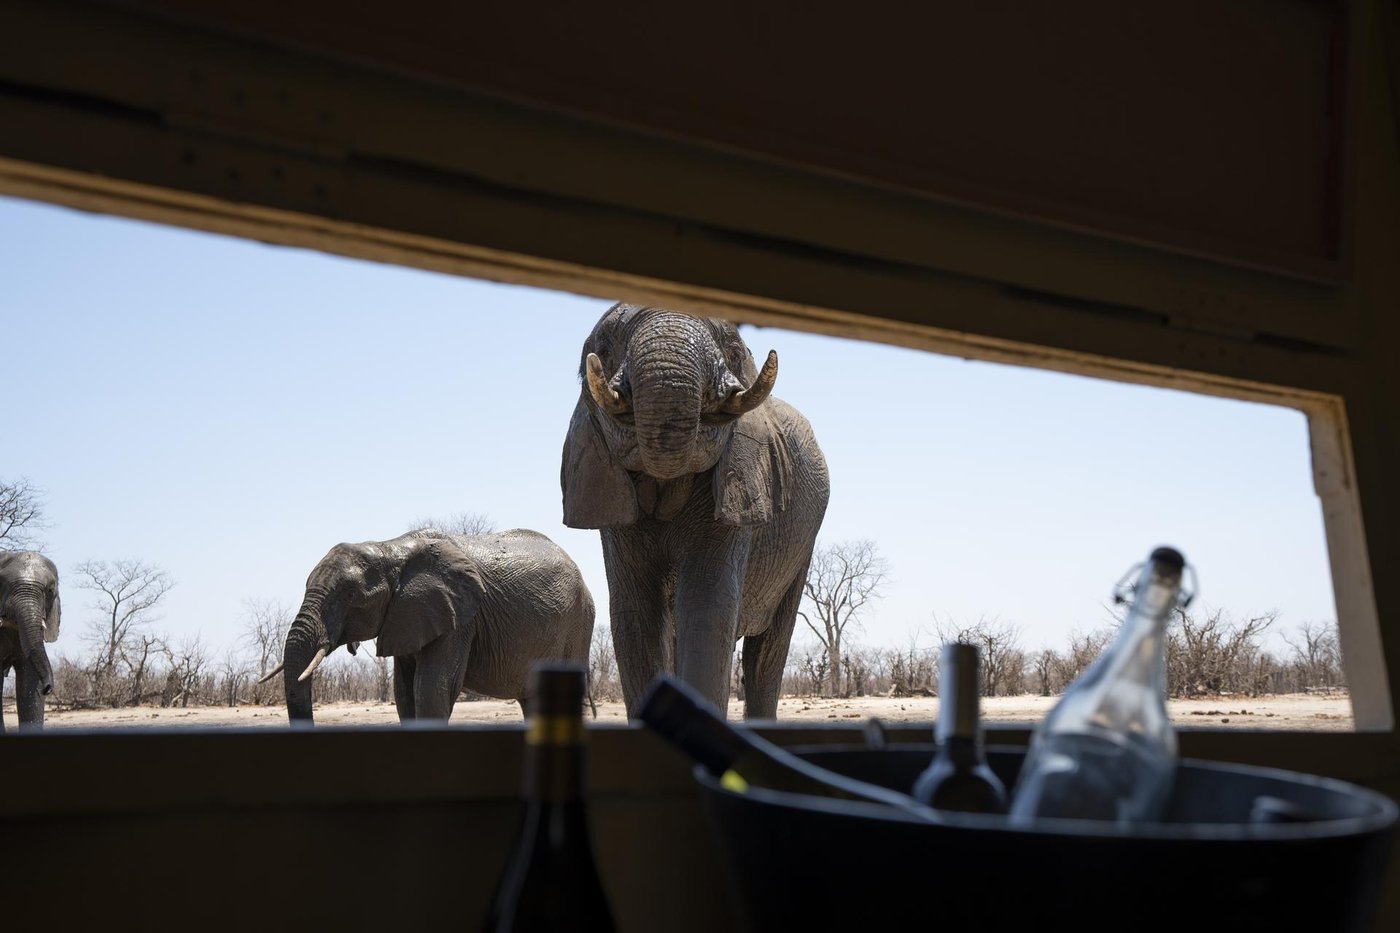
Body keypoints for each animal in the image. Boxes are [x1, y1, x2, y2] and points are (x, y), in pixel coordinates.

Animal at [265, 528, 594, 724]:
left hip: (578, 625)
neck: (391, 549)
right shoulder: (406, 617)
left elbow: (431, 690)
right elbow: (404, 694)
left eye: (349, 596)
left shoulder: (460, 619)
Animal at [561, 303, 829, 719]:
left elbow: (707, 606)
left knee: (766, 652)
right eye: (601, 351)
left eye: (734, 351)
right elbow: (635, 617)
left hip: (801, 545)